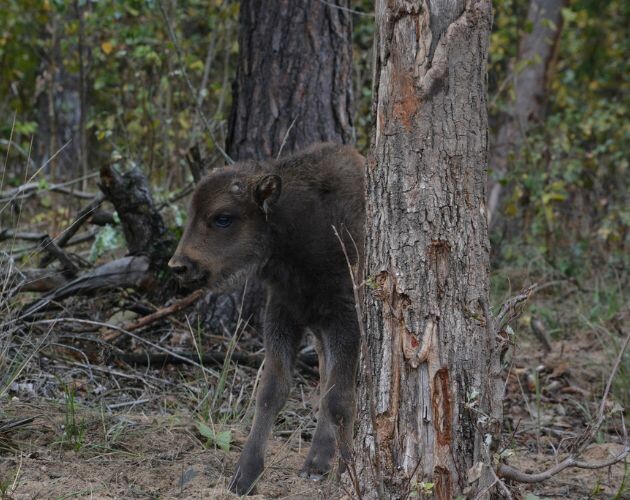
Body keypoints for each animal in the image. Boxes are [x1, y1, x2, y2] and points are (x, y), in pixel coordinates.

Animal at [169, 143, 366, 494]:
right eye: (191, 214)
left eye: (222, 218)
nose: (179, 266)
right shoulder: (283, 313)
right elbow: (272, 392)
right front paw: (244, 477)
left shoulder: (346, 319)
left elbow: (340, 399)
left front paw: (347, 474)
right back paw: (314, 465)